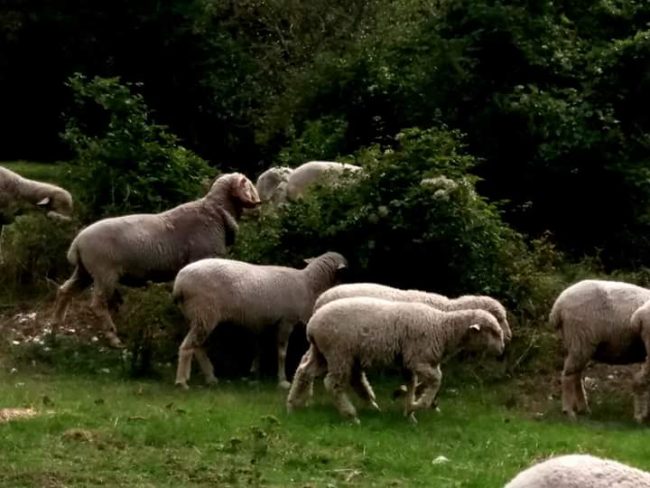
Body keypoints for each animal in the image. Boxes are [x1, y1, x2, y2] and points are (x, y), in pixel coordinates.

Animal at [51, 172, 260, 349]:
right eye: (249, 184)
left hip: (85, 271)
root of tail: (77, 242)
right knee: (98, 305)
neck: (216, 213)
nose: (259, 205)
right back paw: (113, 338)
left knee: (64, 291)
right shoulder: (202, 259)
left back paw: (55, 326)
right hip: (104, 274)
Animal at [172, 251, 348, 390]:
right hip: (204, 314)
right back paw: (182, 382)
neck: (308, 284)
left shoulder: (265, 322)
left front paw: (254, 373)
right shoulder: (286, 321)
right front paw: (283, 381)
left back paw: (210, 378)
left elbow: (259, 348)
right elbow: (282, 353)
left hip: (198, 317)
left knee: (198, 347)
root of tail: (179, 283)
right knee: (187, 347)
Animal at [287, 297, 505, 423]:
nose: (502, 349)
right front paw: (419, 405)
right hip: (339, 352)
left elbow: (411, 383)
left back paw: (292, 404)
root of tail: (312, 325)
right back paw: (350, 415)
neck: (443, 328)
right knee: (332, 383)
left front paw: (409, 412)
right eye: (493, 331)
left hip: (323, 353)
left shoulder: (408, 362)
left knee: (304, 371)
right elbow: (436, 380)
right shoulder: (418, 358)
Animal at [549, 279, 650, 421]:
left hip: (578, 344)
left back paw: (583, 408)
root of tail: (558, 306)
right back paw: (569, 411)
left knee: (576, 375)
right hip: (580, 340)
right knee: (568, 375)